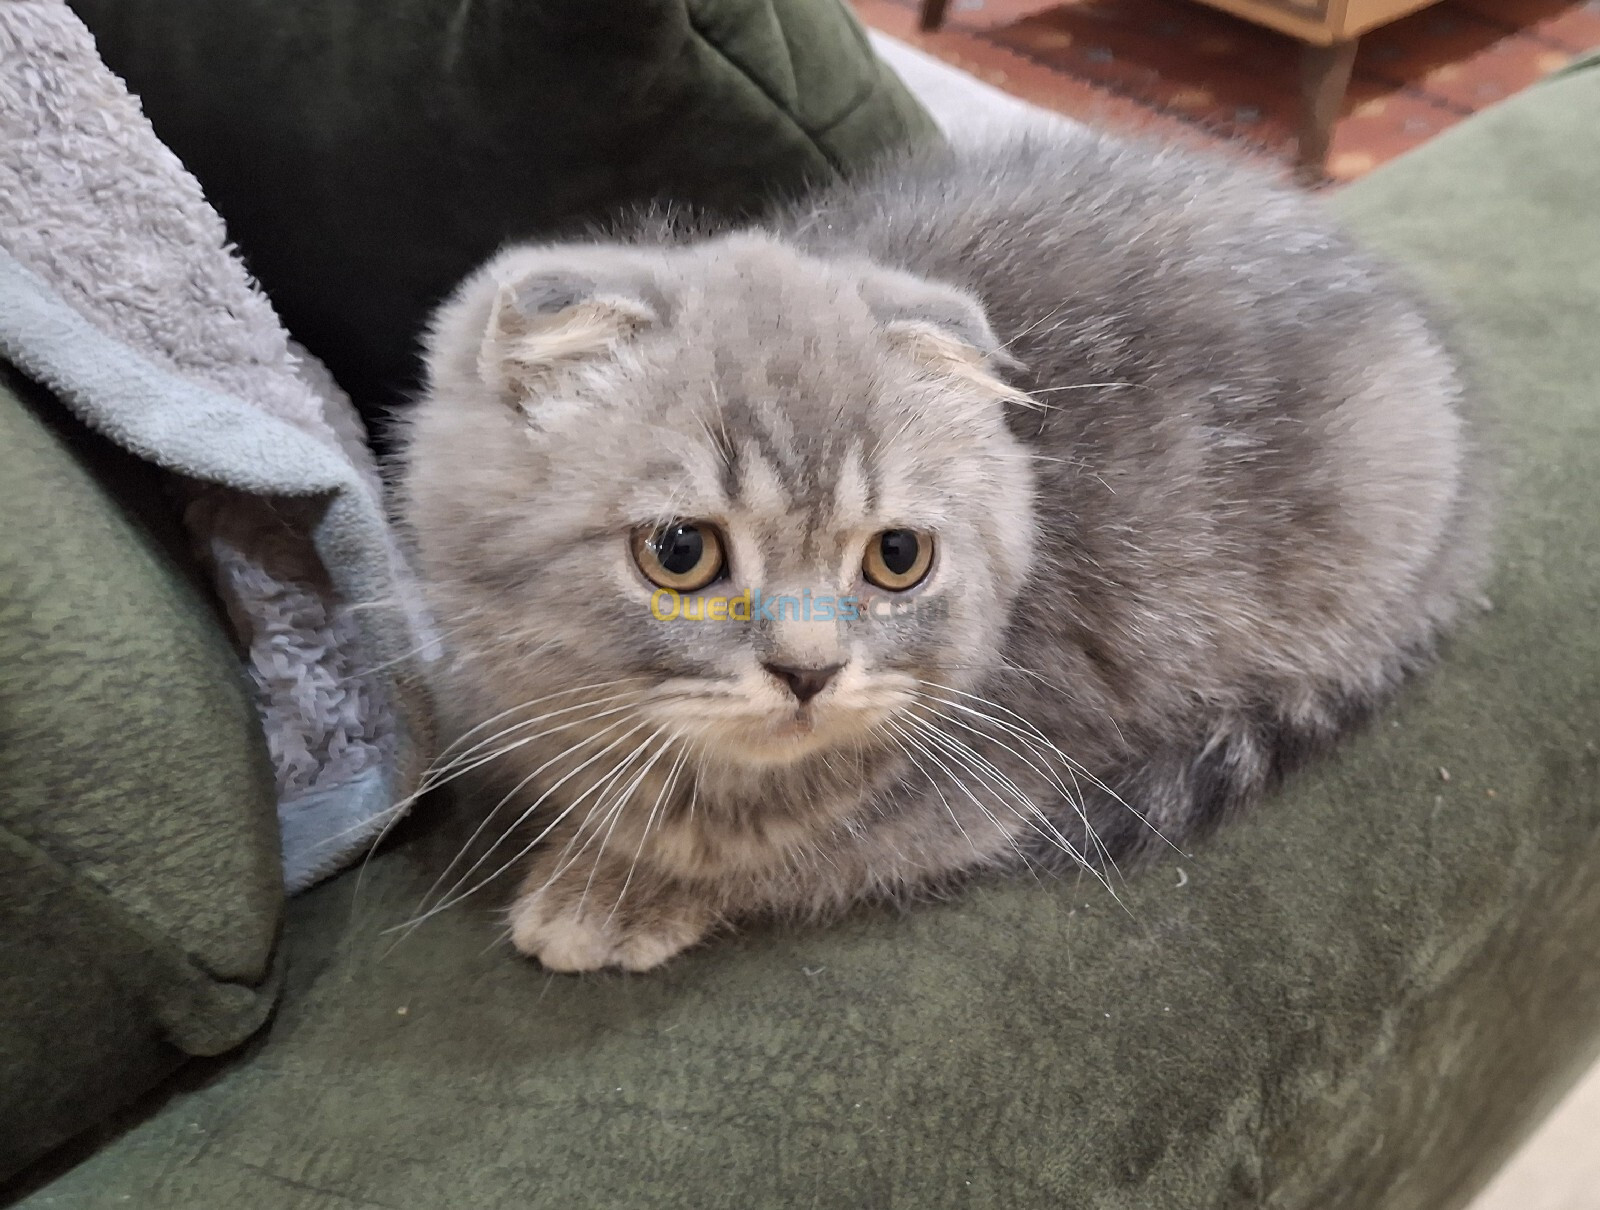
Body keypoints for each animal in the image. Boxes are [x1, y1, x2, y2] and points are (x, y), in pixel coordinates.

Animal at [396, 132, 1484, 966]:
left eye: (897, 557)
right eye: (679, 550)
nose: (809, 671)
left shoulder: (1001, 771)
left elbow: (791, 854)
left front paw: (619, 885)